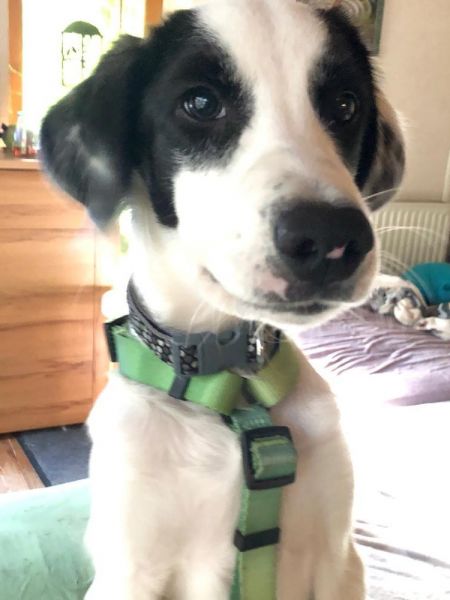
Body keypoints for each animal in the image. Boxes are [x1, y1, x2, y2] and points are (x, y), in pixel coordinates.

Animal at [40, 1, 405, 598]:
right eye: (201, 103)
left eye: (345, 105)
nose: (332, 239)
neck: (231, 388)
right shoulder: (132, 571)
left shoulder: (338, 559)